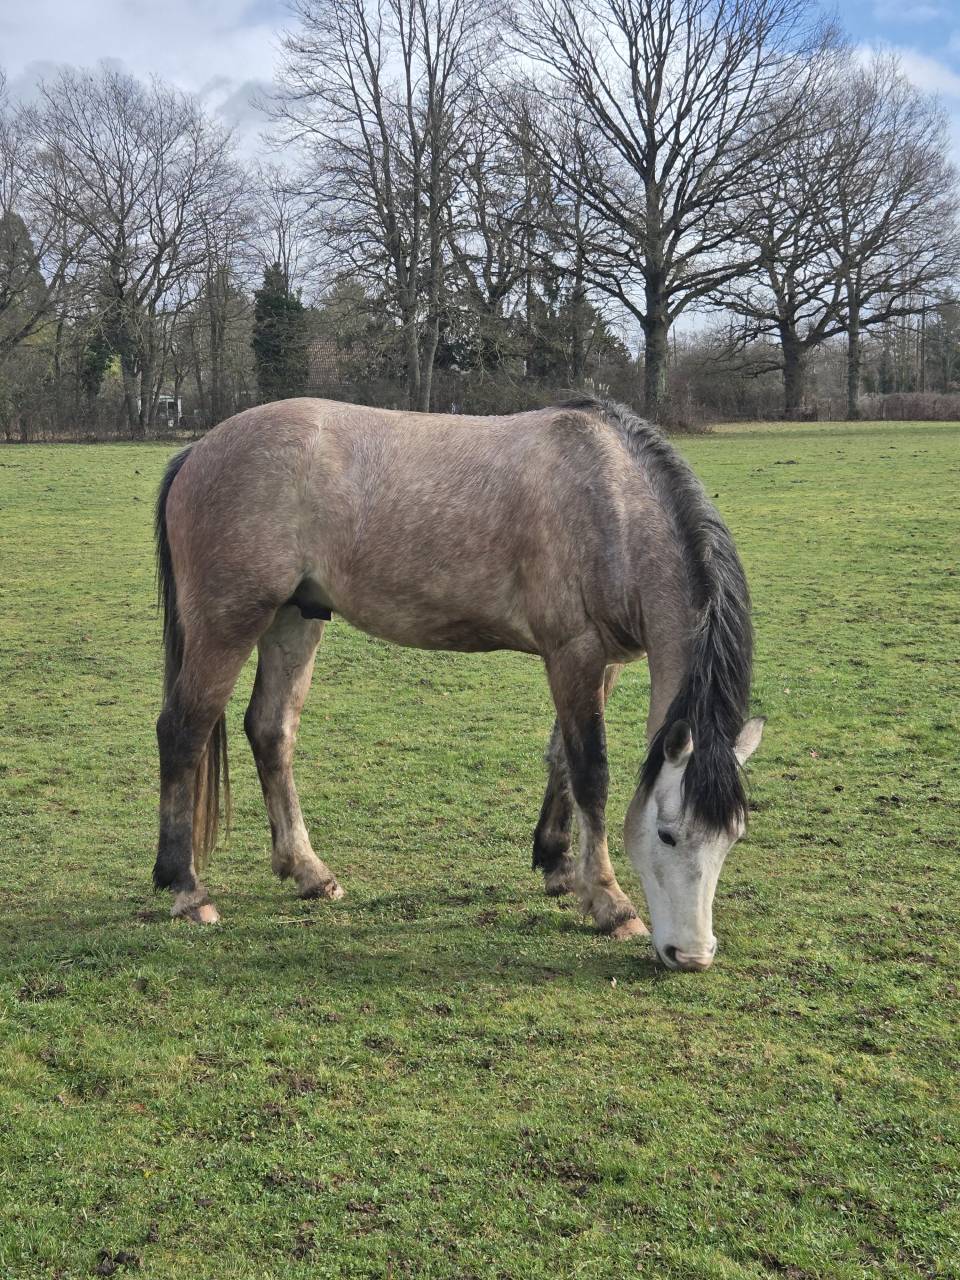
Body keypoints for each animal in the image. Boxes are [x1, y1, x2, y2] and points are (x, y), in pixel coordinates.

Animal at [152, 395, 764, 971]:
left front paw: (558, 866)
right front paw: (610, 905)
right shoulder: (574, 653)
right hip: (228, 624)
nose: (692, 955)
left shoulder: (601, 663)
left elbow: (562, 760)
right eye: (667, 834)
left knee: (271, 731)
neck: (611, 503)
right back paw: (186, 889)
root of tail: (198, 451)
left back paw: (308, 872)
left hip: (294, 618)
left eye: (732, 836)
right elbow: (592, 773)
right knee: (182, 733)